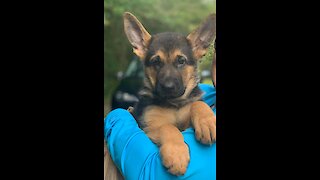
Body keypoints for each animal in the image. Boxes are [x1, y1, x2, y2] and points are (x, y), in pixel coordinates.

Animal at [123, 11, 218, 176]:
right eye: (156, 62)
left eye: (181, 61)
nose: (168, 87)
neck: (174, 104)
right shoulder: (149, 126)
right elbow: (167, 127)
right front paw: (176, 154)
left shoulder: (187, 116)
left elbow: (198, 104)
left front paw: (207, 122)